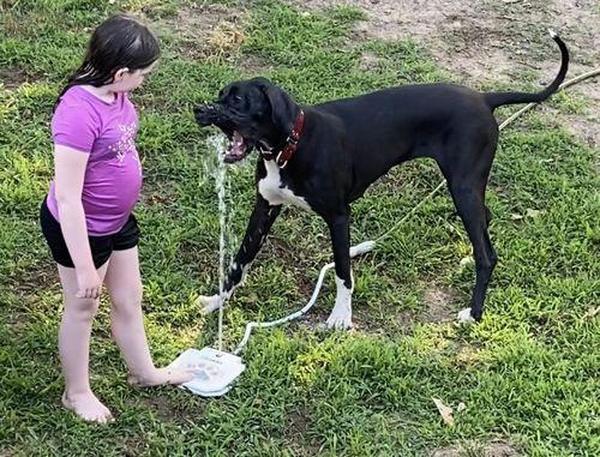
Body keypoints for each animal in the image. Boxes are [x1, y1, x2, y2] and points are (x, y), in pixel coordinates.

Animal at [195, 30, 568, 326]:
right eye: (220, 95)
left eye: (239, 100)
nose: (200, 110)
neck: (290, 146)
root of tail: (484, 98)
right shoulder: (265, 207)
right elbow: (239, 261)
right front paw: (217, 302)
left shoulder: (339, 216)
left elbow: (343, 270)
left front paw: (341, 317)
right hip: (468, 189)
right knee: (484, 229)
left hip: (462, 187)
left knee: (487, 254)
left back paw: (474, 313)